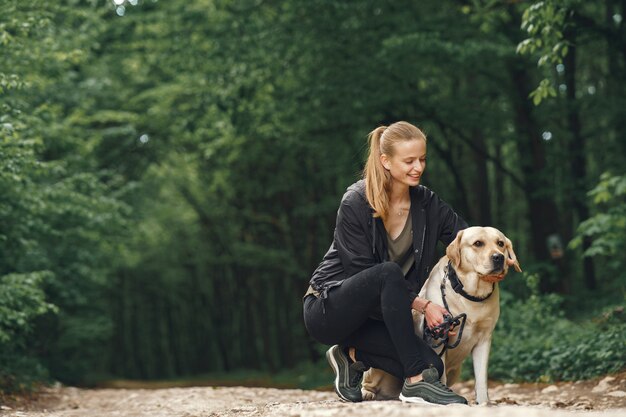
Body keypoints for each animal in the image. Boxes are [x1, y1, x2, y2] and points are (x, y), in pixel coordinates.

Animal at [358, 226, 520, 404]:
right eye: (478, 243)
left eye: (501, 243)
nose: (499, 257)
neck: (469, 295)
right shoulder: (438, 338)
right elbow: (440, 375)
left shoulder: (484, 340)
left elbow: (481, 378)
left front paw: (484, 403)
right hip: (376, 369)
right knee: (369, 382)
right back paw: (367, 393)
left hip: (456, 370)